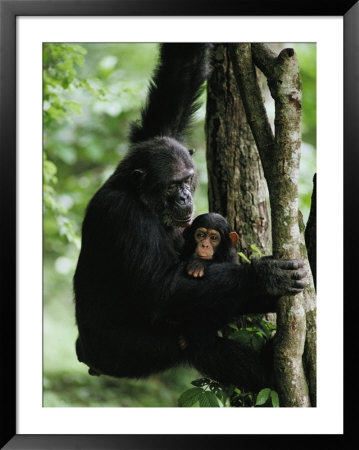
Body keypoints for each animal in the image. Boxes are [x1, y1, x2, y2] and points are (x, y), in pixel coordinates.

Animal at [74, 44, 308, 392]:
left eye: (187, 179)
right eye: (173, 185)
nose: (184, 196)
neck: (142, 197)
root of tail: (85, 354)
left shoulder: (158, 134)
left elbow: (178, 79)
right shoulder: (123, 216)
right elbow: (160, 287)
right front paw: (264, 276)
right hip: (122, 351)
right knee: (196, 342)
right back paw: (268, 367)